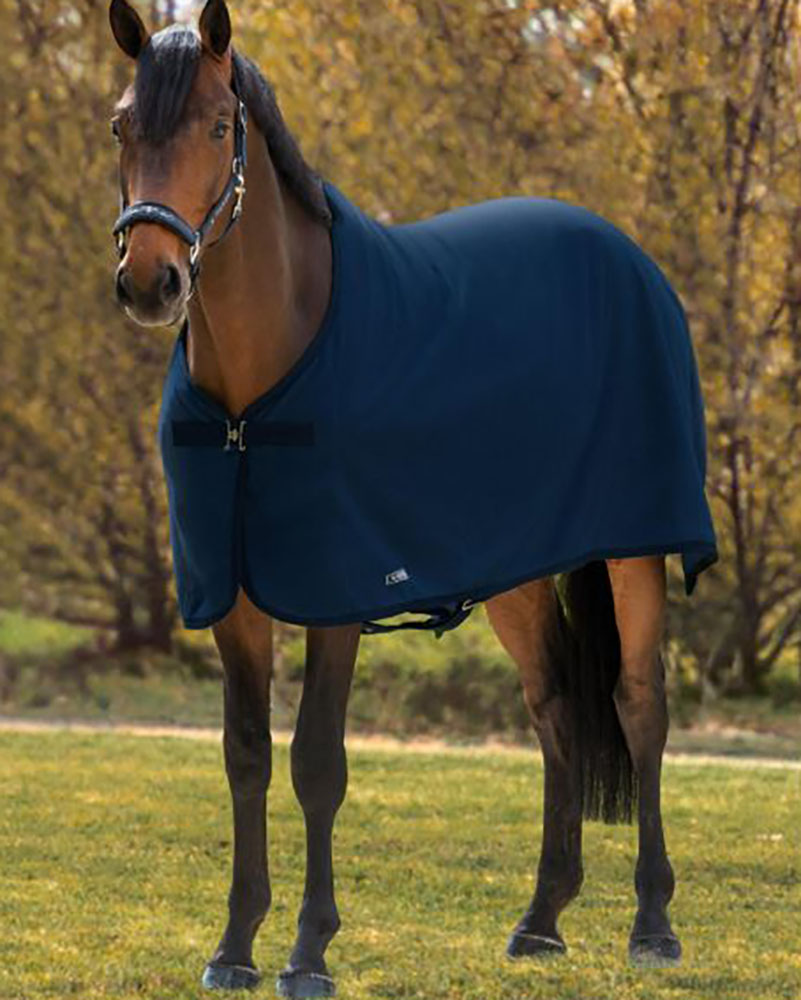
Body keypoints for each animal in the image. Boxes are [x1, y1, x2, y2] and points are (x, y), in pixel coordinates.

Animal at [107, 0, 718, 994]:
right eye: (123, 126)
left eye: (218, 127)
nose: (150, 283)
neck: (258, 391)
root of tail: (626, 255)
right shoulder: (235, 600)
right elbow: (245, 758)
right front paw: (234, 946)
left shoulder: (335, 596)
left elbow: (317, 762)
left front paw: (309, 951)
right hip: (517, 572)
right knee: (554, 709)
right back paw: (540, 920)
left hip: (635, 550)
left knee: (637, 705)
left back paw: (653, 925)